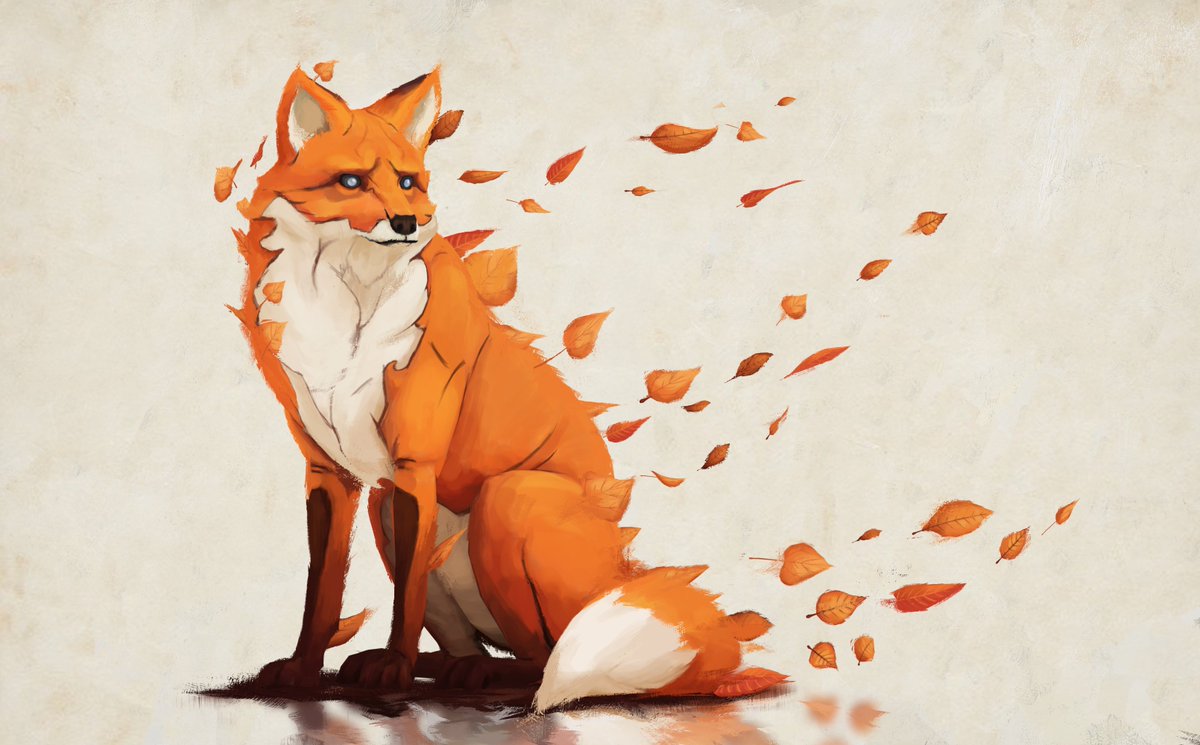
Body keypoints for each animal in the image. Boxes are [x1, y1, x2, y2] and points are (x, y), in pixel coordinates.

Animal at [228, 65, 785, 711]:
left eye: (408, 182)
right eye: (351, 182)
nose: (407, 223)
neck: (342, 309)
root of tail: (625, 567)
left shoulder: (416, 463)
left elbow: (404, 602)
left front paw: (393, 668)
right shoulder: (332, 474)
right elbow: (321, 592)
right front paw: (303, 670)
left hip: (507, 499)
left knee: (541, 659)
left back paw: (467, 676)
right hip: (386, 507)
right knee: (475, 647)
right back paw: (438, 666)